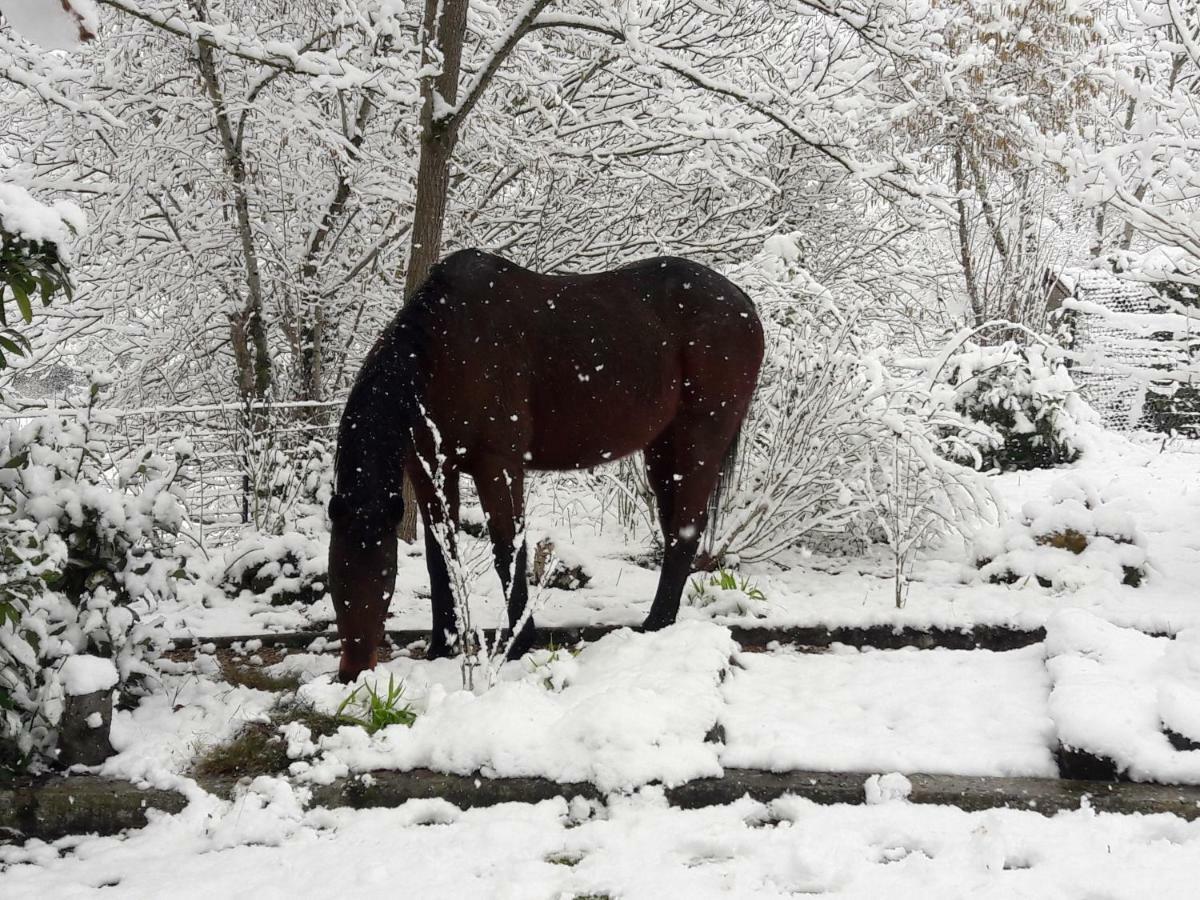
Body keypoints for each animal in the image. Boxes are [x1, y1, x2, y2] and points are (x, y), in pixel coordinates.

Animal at [324, 247, 763, 681]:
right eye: (335, 577)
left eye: (384, 578)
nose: (352, 672)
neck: (445, 349)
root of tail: (743, 302)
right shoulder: (430, 469)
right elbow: (441, 556)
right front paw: (440, 647)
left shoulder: (497, 466)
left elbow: (507, 549)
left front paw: (518, 642)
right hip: (662, 451)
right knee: (675, 529)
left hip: (698, 441)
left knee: (685, 531)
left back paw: (655, 626)